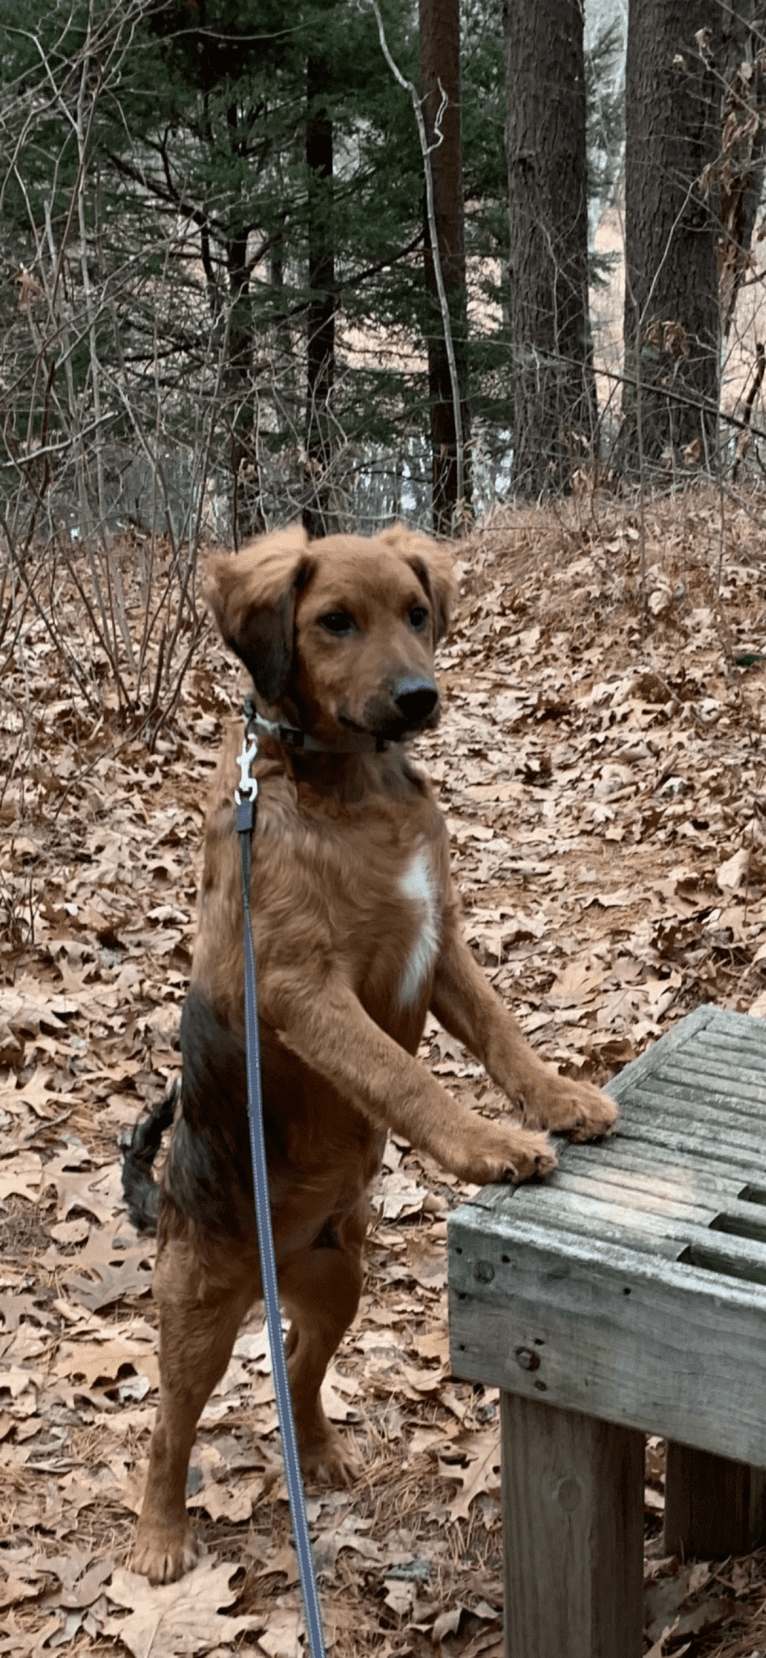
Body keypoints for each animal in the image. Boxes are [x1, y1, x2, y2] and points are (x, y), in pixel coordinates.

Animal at [126, 527, 616, 1578]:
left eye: (418, 614)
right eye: (334, 623)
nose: (419, 699)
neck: (346, 786)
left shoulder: (438, 947)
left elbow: (504, 1033)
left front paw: (558, 1097)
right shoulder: (306, 991)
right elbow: (405, 1077)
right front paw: (490, 1147)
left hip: (338, 1283)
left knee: (298, 1369)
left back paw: (318, 1452)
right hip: (196, 1315)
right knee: (171, 1426)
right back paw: (158, 1536)